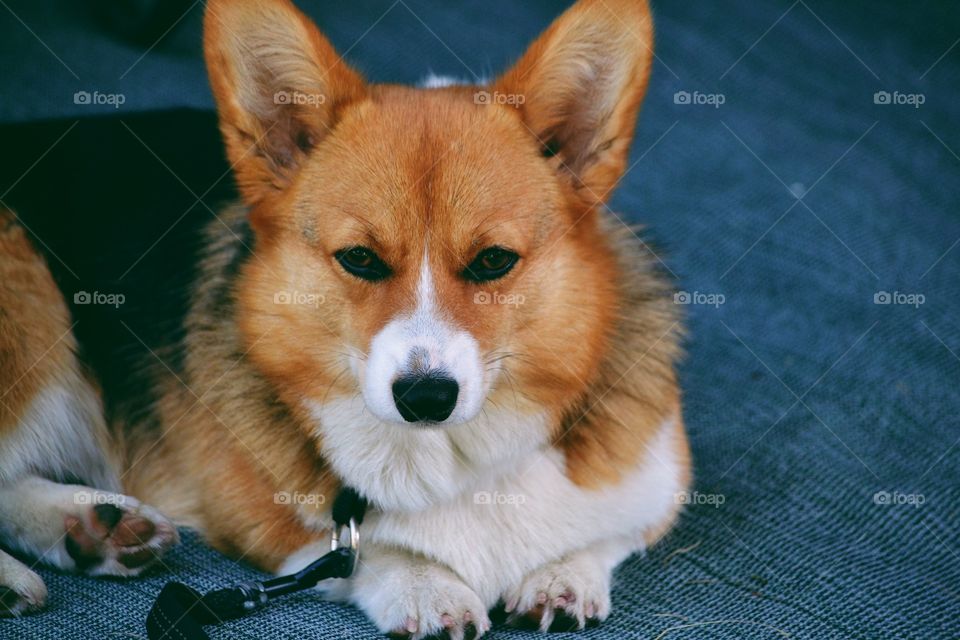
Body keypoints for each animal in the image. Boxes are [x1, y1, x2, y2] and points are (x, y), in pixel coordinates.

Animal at [1, 0, 688, 636]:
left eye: (494, 260)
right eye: (359, 258)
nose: (425, 397)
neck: (452, 458)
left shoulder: (656, 482)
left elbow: (606, 532)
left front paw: (562, 575)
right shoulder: (266, 517)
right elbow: (362, 553)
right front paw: (427, 586)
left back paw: (91, 528)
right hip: (31, 309)